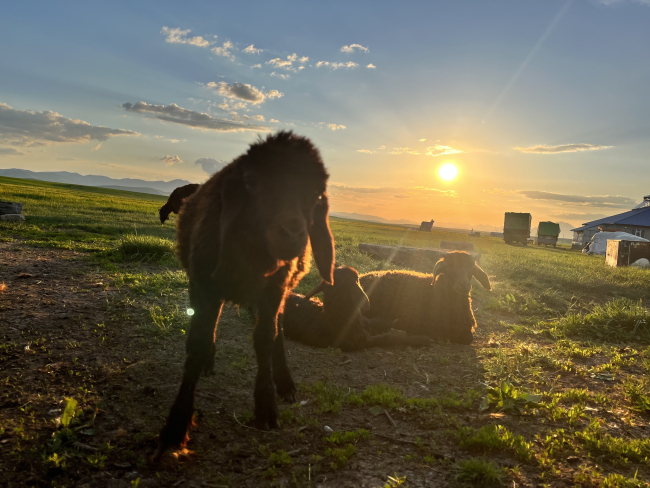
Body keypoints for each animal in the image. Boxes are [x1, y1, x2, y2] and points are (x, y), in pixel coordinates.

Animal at [153, 132, 334, 460]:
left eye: (317, 193)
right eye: (251, 181)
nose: (292, 234)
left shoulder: (273, 291)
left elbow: (265, 339)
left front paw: (267, 407)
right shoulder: (205, 285)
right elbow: (197, 343)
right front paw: (175, 427)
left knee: (277, 332)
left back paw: (285, 383)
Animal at [280, 266, 428, 350]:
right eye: (357, 280)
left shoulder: (362, 320)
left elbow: (375, 321)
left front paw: (394, 323)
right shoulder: (364, 341)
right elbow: (388, 338)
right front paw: (420, 339)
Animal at [356, 252, 488, 344]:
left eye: (471, 268)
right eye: (448, 268)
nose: (463, 284)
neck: (435, 292)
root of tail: (362, 277)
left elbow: (467, 338)